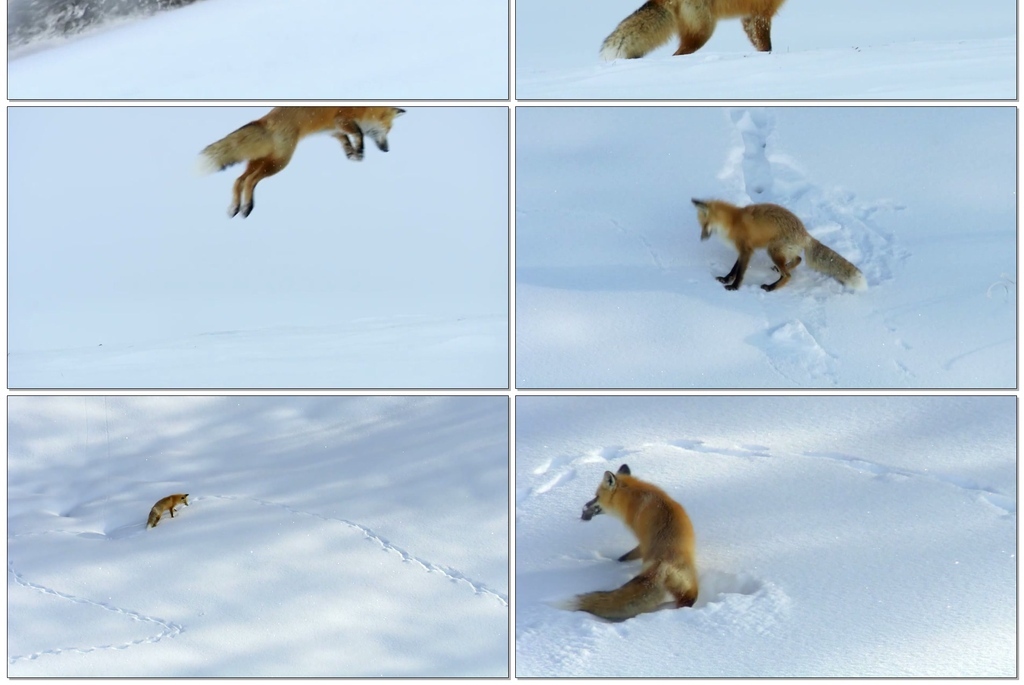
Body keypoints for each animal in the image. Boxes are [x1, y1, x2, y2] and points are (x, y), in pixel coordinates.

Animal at [197, 105, 405, 218]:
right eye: (388, 129)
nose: (387, 149)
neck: (364, 109)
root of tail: (265, 120)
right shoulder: (342, 119)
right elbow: (359, 133)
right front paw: (360, 150)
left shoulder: (334, 130)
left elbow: (345, 140)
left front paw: (352, 154)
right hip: (279, 163)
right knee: (249, 180)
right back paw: (247, 207)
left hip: (262, 161)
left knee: (239, 180)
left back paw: (235, 208)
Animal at [573, 464, 700, 618]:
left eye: (596, 496)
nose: (585, 507)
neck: (633, 496)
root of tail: (662, 563)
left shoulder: (641, 541)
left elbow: (626, 556)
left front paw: (618, 561)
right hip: (687, 587)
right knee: (689, 599)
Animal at [598, 0, 790, 60]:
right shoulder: (761, 16)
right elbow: (766, 46)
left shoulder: (749, 17)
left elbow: (759, 45)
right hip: (703, 33)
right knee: (677, 55)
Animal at [692, 198, 868, 292]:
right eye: (701, 226)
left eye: (705, 225)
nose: (701, 238)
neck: (733, 222)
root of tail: (805, 233)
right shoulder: (743, 250)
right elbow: (734, 269)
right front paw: (726, 278)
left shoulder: (746, 250)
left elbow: (740, 272)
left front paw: (734, 287)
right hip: (780, 252)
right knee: (797, 260)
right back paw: (781, 271)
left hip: (773, 251)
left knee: (789, 275)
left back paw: (771, 287)